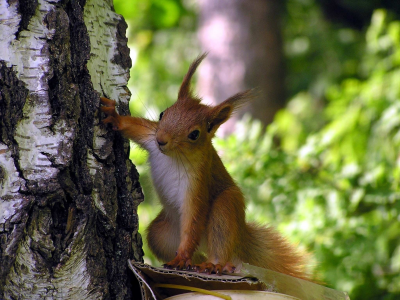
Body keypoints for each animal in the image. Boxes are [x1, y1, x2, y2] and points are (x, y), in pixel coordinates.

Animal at [99, 53, 310, 278]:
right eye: (163, 113)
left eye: (194, 134)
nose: (161, 140)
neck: (174, 156)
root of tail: (241, 238)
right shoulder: (150, 136)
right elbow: (135, 127)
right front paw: (114, 117)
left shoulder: (198, 181)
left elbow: (194, 218)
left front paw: (182, 256)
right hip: (161, 234)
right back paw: (193, 263)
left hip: (226, 208)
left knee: (220, 242)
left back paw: (214, 264)